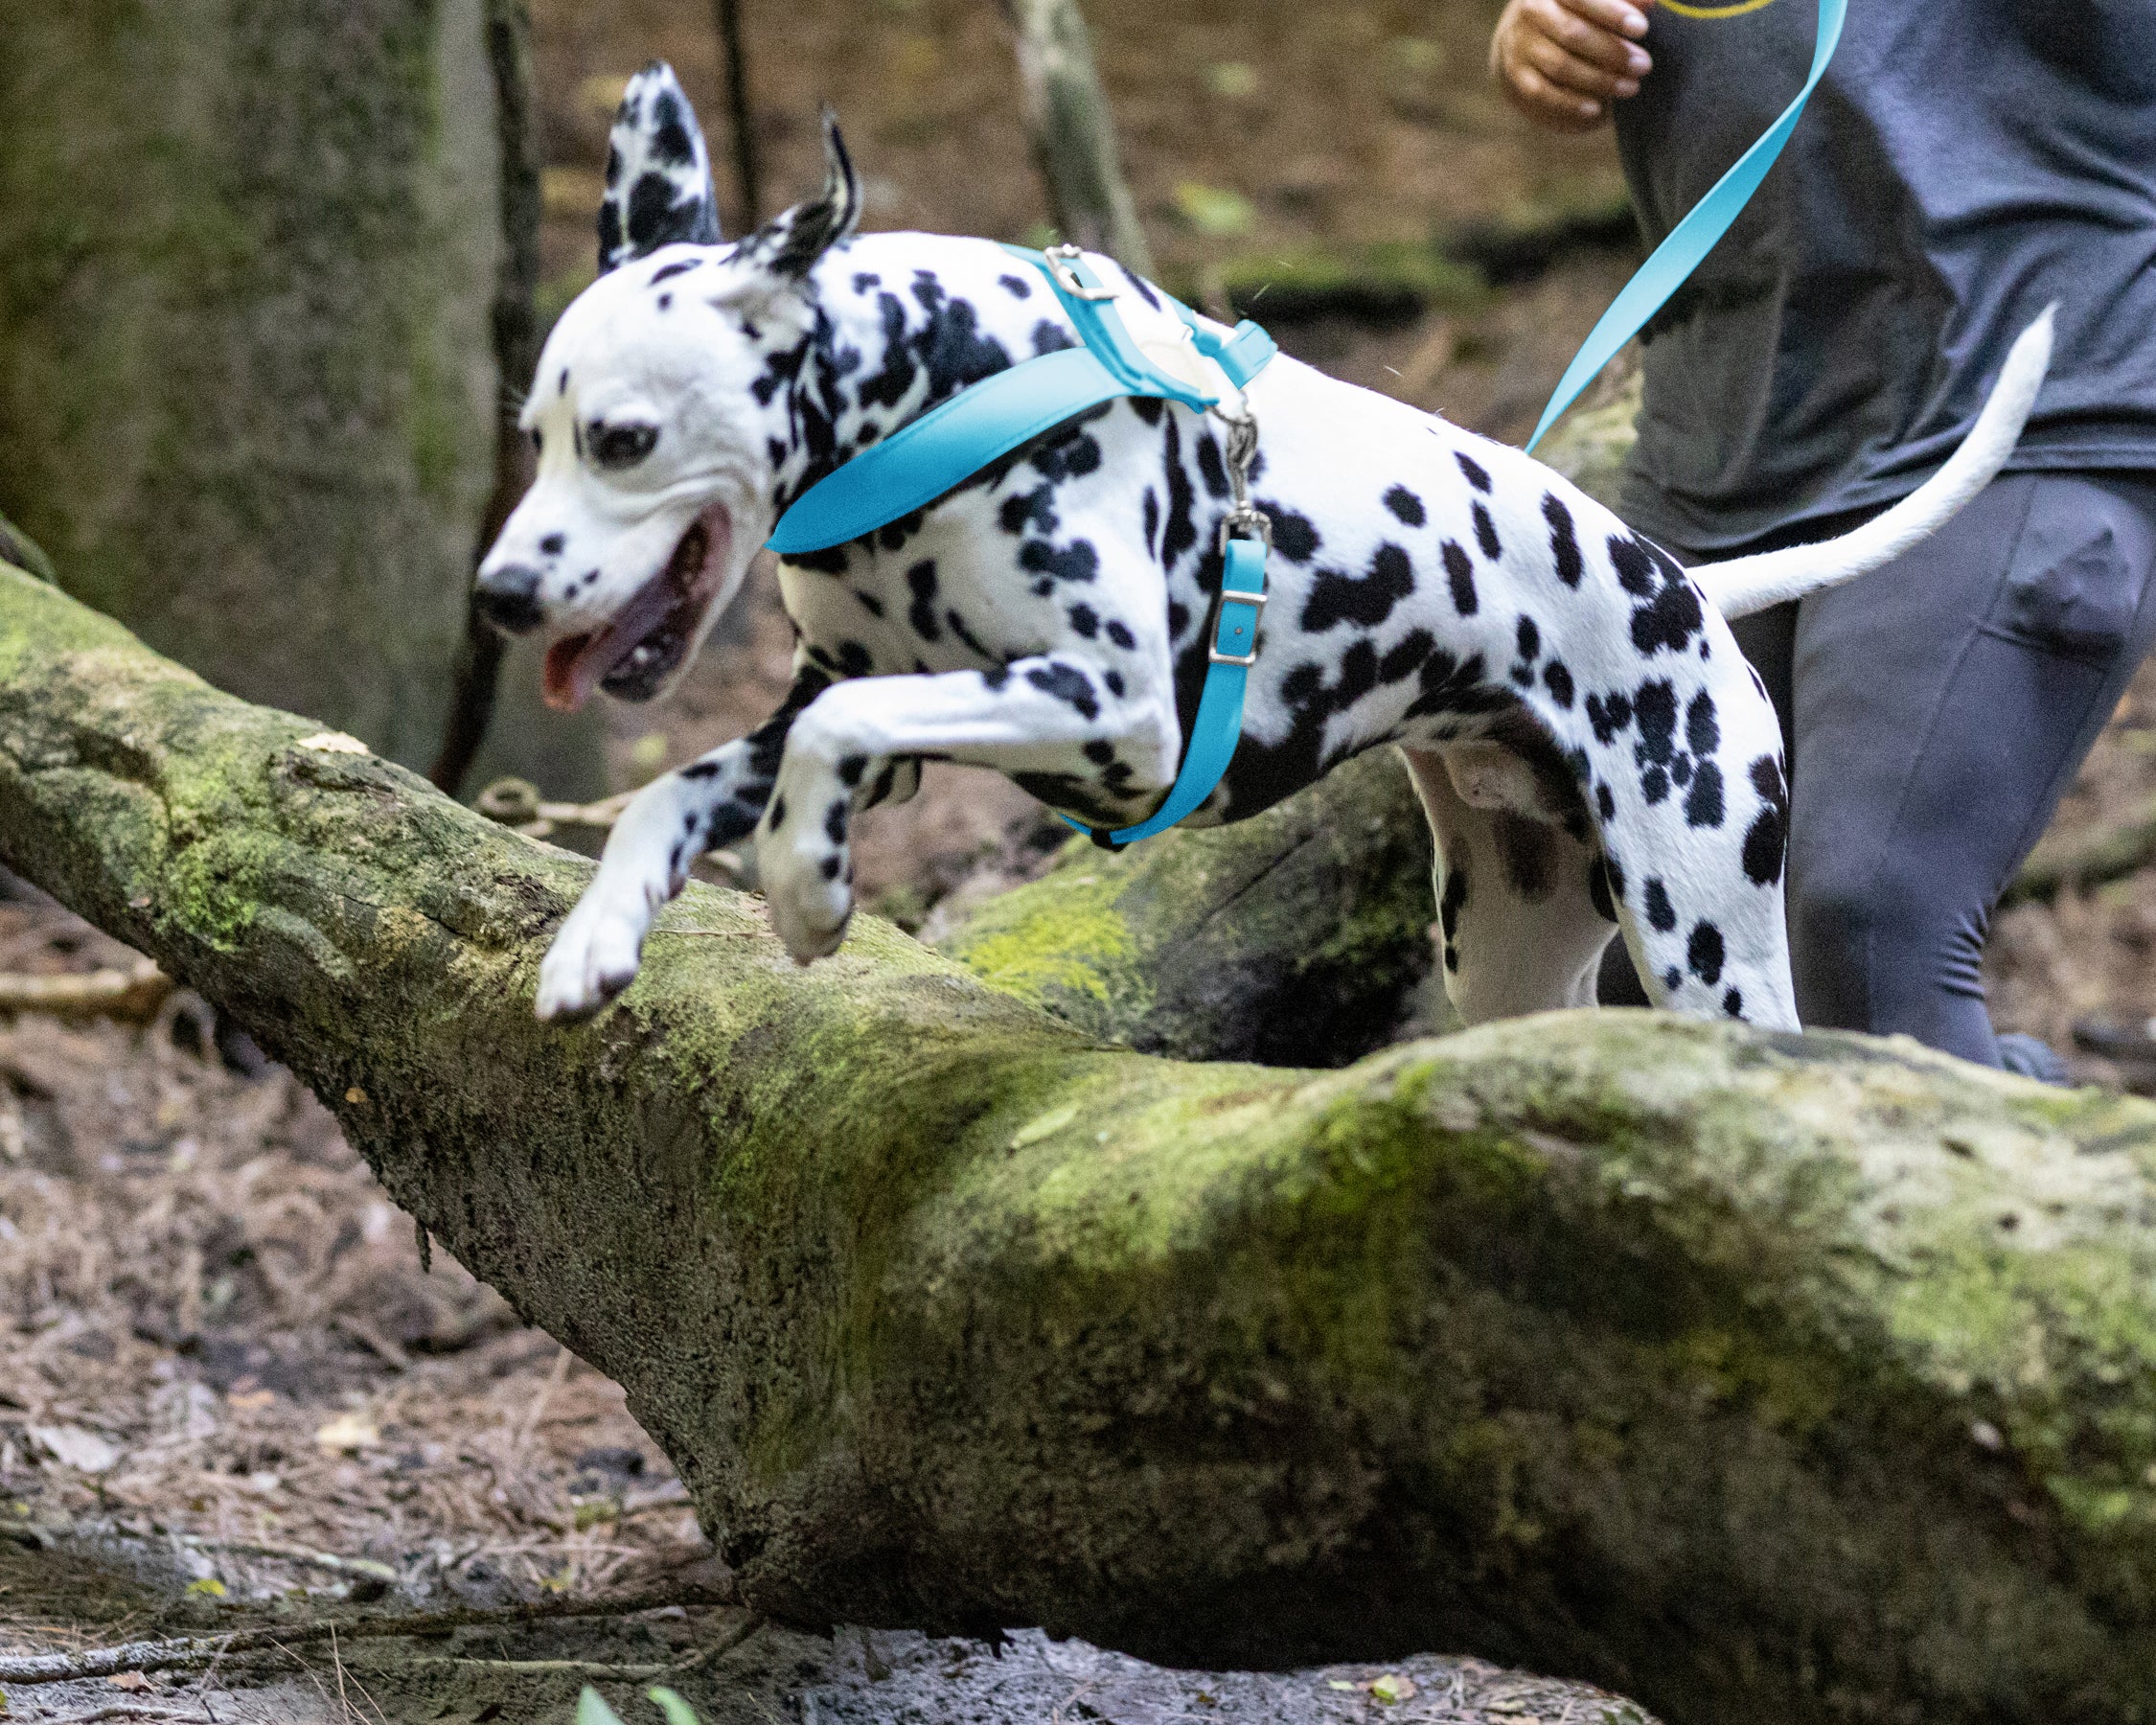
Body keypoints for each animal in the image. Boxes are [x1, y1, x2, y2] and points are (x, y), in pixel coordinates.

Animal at [489, 67, 2053, 1030]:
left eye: (621, 438)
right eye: (533, 433)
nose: (501, 594)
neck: (941, 379)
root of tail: (1685, 586)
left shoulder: (1109, 709)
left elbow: (832, 740)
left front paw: (811, 899)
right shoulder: (856, 707)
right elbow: (681, 786)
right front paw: (597, 937)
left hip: (1706, 935)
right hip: (1509, 949)